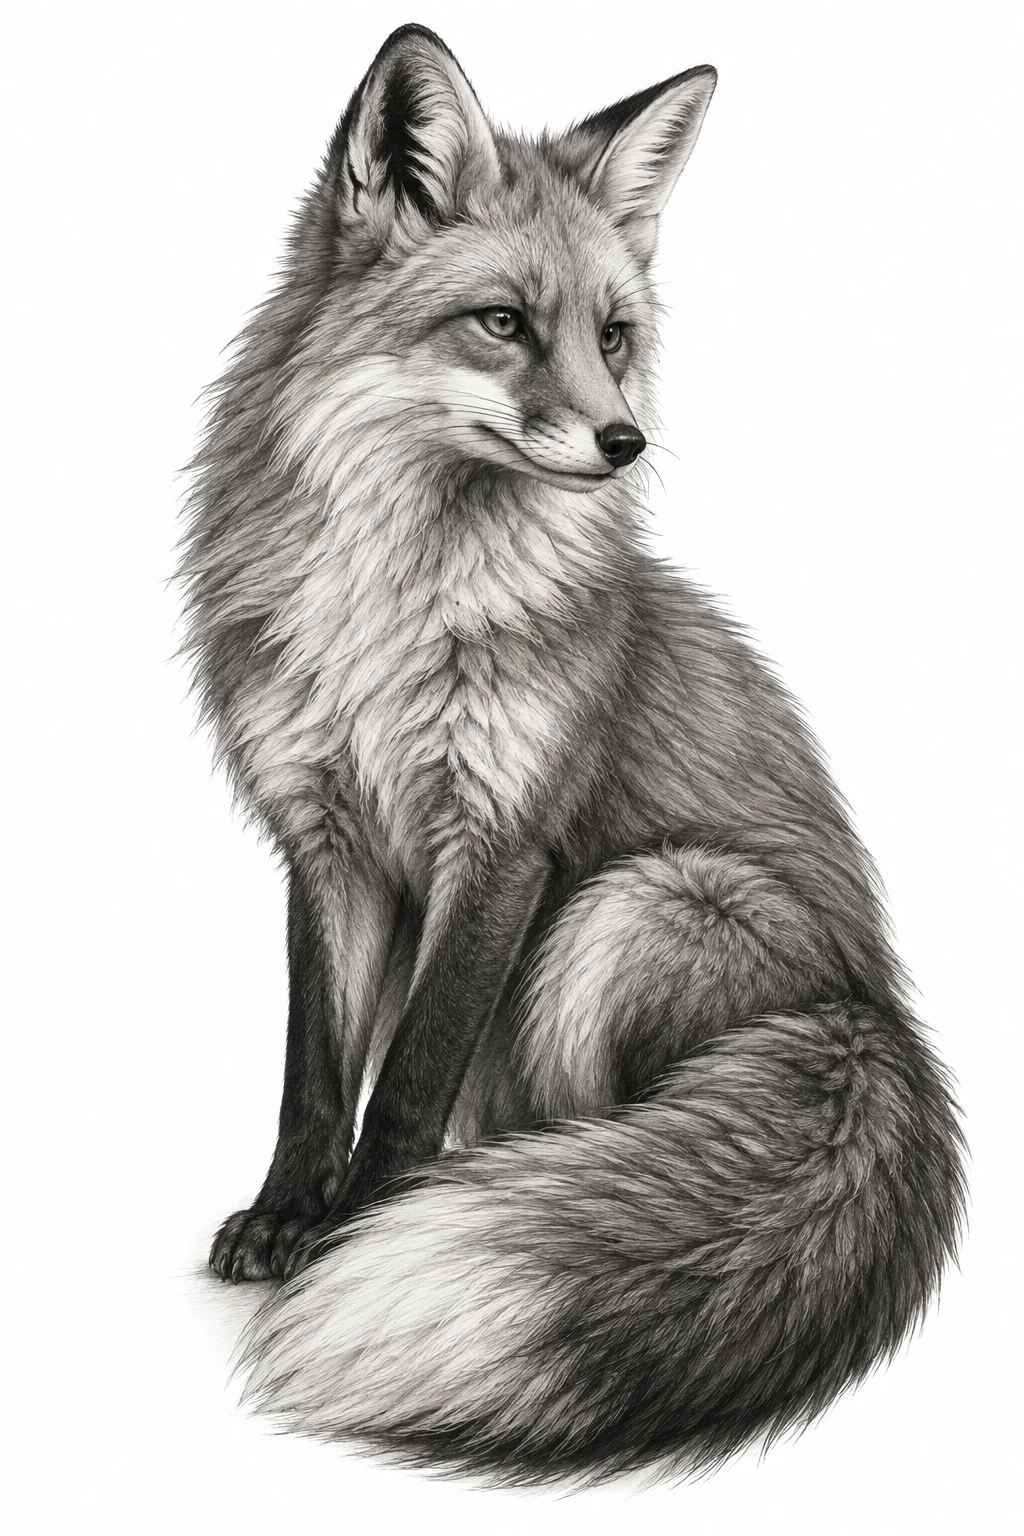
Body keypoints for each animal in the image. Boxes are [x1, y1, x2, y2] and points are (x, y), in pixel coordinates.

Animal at [179, 23, 965, 1486]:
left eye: (613, 336)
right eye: (502, 324)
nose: (623, 441)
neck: (396, 614)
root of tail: (882, 1022)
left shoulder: (505, 840)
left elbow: (409, 1074)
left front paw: (357, 1235)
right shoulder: (329, 839)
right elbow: (316, 1070)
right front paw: (286, 1220)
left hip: (637, 902)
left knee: (590, 1113)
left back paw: (545, 1197)